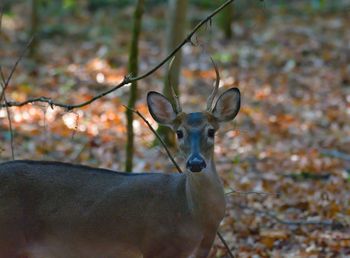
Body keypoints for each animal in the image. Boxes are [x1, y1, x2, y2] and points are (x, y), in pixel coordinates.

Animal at [0, 65, 241, 258]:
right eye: (179, 133)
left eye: (211, 131)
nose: (196, 163)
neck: (195, 217)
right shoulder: (157, 245)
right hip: (9, 239)